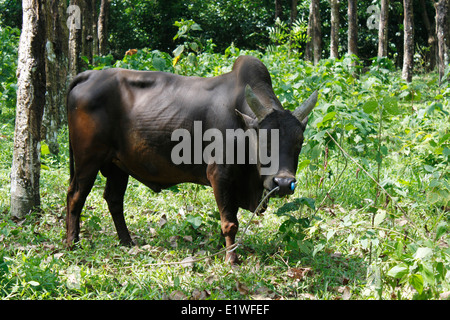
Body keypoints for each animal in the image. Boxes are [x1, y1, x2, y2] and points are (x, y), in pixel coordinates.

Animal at [67, 55, 316, 264]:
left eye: (299, 142)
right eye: (263, 140)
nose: (283, 183)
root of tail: (89, 75)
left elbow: (228, 218)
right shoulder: (220, 174)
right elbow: (230, 222)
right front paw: (232, 261)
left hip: (118, 166)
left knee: (114, 199)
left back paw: (127, 242)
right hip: (87, 160)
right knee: (75, 196)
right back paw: (72, 244)